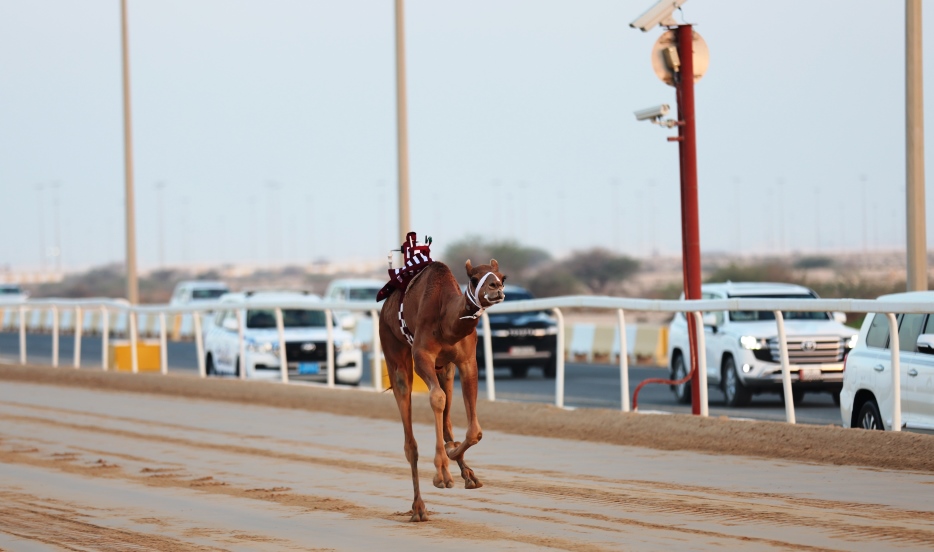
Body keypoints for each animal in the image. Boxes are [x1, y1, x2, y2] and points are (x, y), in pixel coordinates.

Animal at [376, 233, 504, 520]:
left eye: (504, 275)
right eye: (473, 278)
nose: (496, 287)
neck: (448, 322)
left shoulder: (466, 362)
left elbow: (475, 431)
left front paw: (455, 456)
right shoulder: (423, 356)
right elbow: (436, 399)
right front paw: (442, 473)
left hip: (445, 369)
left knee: (446, 420)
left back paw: (467, 473)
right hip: (393, 348)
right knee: (410, 440)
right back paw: (419, 508)